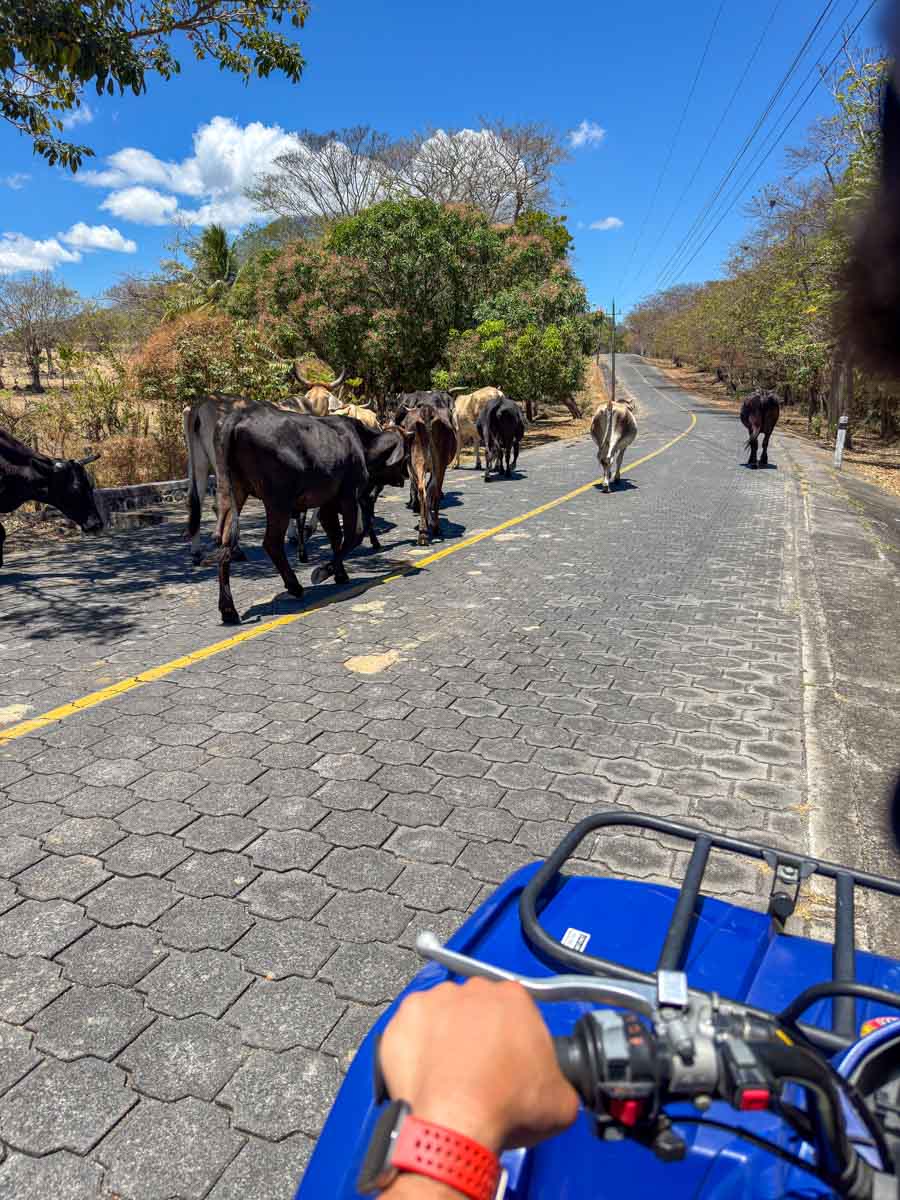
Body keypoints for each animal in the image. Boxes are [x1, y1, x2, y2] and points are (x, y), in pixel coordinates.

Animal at [213, 404, 408, 624]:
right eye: (405, 455)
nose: (405, 476)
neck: (361, 443)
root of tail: (238, 416)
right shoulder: (349, 496)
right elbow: (354, 536)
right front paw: (323, 572)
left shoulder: (328, 503)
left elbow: (335, 536)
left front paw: (340, 574)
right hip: (278, 501)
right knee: (271, 543)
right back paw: (294, 586)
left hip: (234, 493)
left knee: (225, 545)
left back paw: (228, 609)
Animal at [394, 391, 457, 545]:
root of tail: (427, 411)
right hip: (437, 464)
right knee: (432, 491)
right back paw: (432, 528)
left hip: (420, 462)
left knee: (423, 490)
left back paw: (424, 532)